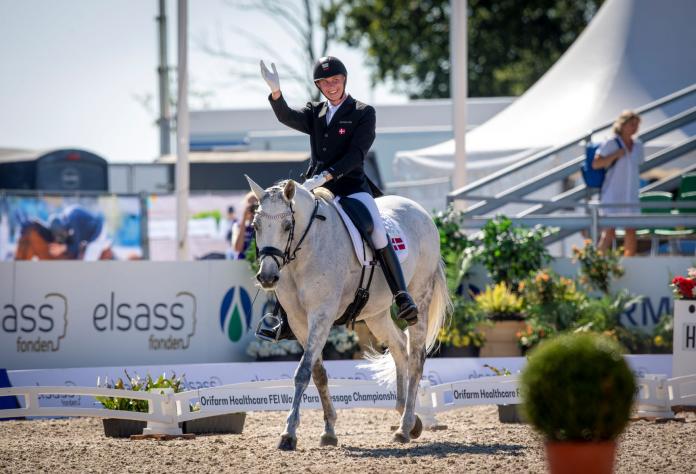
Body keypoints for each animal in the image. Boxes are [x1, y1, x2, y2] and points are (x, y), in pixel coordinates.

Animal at [247, 176, 448, 450]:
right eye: (255, 226)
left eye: (288, 226)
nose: (267, 277)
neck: (307, 247)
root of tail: (420, 211)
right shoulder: (299, 322)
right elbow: (318, 373)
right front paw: (329, 431)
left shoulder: (321, 314)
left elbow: (302, 372)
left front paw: (288, 433)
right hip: (376, 313)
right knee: (399, 348)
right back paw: (408, 418)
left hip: (420, 296)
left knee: (416, 357)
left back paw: (405, 427)